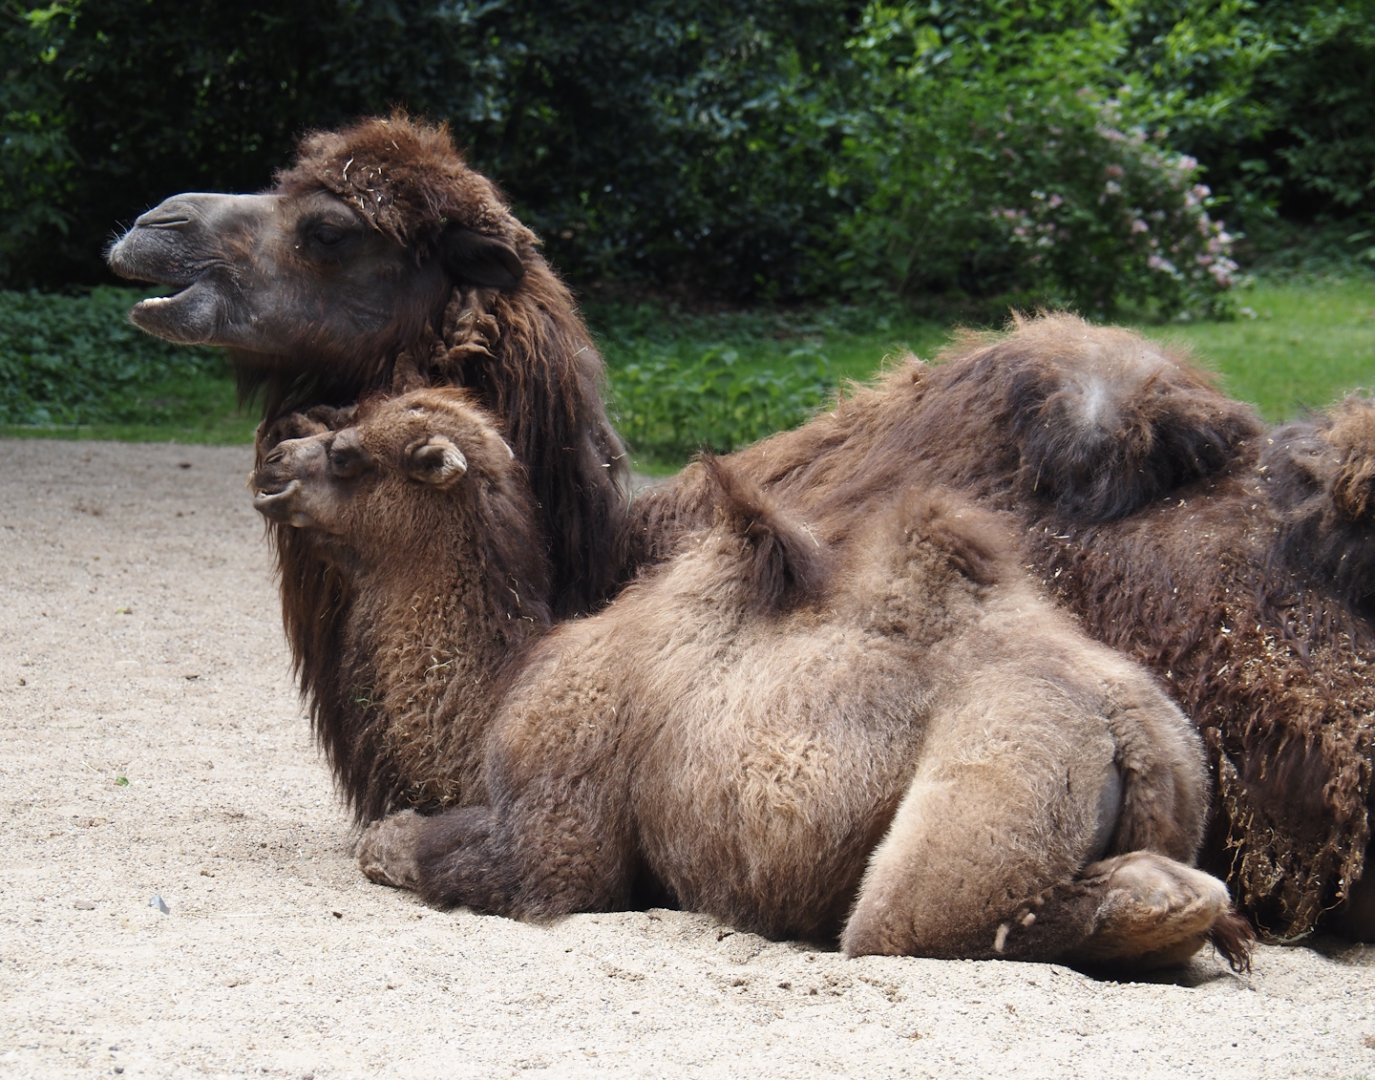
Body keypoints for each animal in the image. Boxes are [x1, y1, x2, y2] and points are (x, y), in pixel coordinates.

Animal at [251, 387, 1250, 971]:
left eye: (351, 454)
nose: (272, 468)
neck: (505, 688)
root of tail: (1132, 726)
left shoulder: (555, 814)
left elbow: (423, 851)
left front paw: (393, 840)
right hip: (1171, 779)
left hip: (995, 783)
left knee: (911, 922)